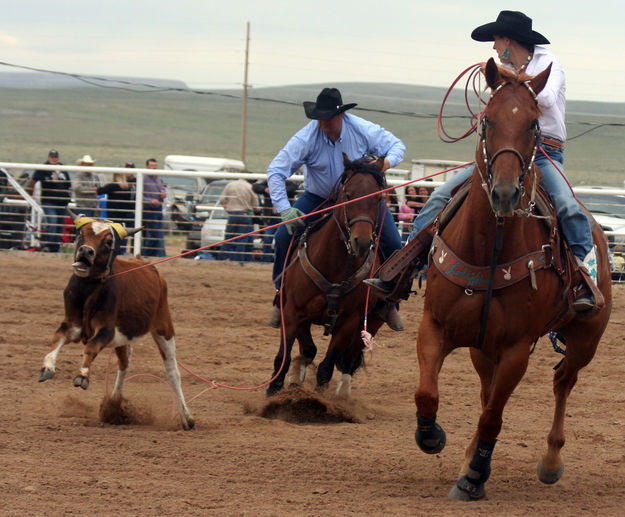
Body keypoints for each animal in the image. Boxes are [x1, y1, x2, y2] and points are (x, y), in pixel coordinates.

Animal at [266, 155, 386, 398]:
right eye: (348, 194)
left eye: (378, 198)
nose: (362, 242)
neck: (335, 265)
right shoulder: (292, 311)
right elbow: (291, 353)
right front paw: (277, 387)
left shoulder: (349, 321)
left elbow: (326, 366)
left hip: (372, 322)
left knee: (350, 359)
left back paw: (343, 393)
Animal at [412, 59, 612, 500]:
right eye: (487, 119)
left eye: (534, 124)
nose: (504, 194)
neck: (488, 251)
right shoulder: (435, 326)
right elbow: (427, 393)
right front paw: (434, 438)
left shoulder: (517, 348)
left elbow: (493, 417)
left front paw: (474, 477)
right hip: (482, 348)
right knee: (488, 393)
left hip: (585, 339)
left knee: (562, 381)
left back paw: (549, 461)